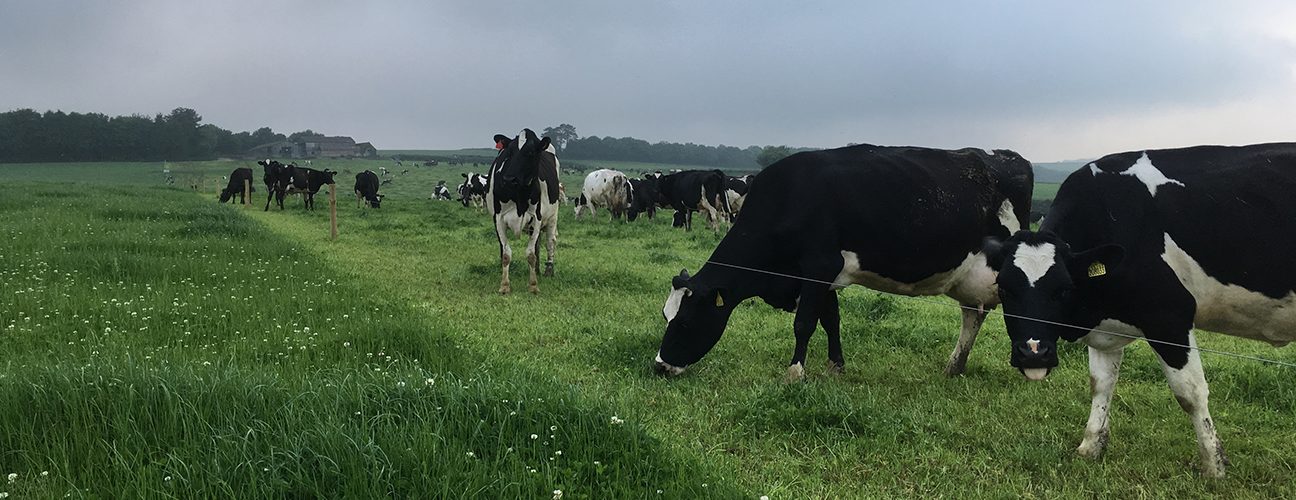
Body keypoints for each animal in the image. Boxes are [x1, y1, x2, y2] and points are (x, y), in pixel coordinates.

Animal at [484, 128, 559, 292]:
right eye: (509, 152)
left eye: (530, 153)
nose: (508, 179)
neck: (520, 196)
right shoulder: (498, 219)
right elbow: (506, 253)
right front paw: (504, 285)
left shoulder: (536, 218)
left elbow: (530, 254)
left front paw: (533, 285)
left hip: (553, 217)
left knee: (550, 242)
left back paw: (548, 270)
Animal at [658, 144, 1031, 383]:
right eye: (665, 316)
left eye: (686, 322)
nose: (659, 366)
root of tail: (1008, 157)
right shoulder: (824, 275)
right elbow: (831, 321)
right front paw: (836, 366)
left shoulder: (818, 266)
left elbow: (804, 324)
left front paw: (795, 373)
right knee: (973, 314)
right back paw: (955, 366)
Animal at [979, 142, 1296, 479]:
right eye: (1004, 289)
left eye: (1063, 289)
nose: (1034, 353)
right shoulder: (1106, 328)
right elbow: (1100, 384)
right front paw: (1089, 448)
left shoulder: (1169, 317)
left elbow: (1191, 393)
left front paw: (1214, 466)